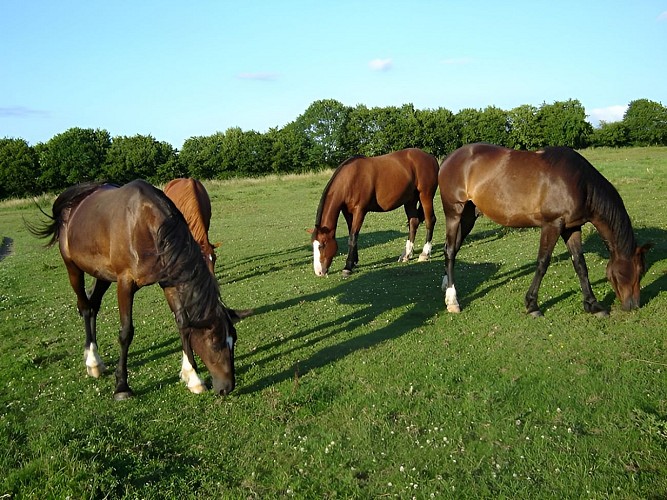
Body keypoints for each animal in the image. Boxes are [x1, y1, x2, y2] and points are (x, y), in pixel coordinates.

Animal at [28, 179, 252, 400]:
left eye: (234, 339)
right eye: (215, 343)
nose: (227, 387)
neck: (147, 226)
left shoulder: (170, 281)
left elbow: (183, 324)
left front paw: (192, 377)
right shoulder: (125, 283)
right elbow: (126, 332)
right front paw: (121, 386)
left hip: (102, 273)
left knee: (93, 304)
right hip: (73, 267)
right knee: (84, 306)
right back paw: (92, 360)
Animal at [310, 148, 439, 277]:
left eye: (322, 245)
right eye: (313, 245)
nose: (319, 272)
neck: (349, 180)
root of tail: (430, 157)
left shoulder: (360, 211)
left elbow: (353, 237)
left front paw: (348, 266)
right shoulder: (347, 212)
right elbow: (352, 234)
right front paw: (354, 261)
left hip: (425, 195)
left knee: (430, 220)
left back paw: (425, 253)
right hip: (410, 200)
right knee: (413, 223)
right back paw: (406, 255)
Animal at [438, 143, 651, 317]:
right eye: (638, 271)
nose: (633, 305)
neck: (581, 183)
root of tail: (449, 158)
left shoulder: (572, 228)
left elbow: (580, 265)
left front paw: (593, 305)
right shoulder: (552, 225)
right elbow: (542, 263)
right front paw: (532, 305)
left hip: (468, 216)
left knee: (453, 250)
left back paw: (446, 288)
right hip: (454, 213)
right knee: (449, 251)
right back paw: (453, 301)